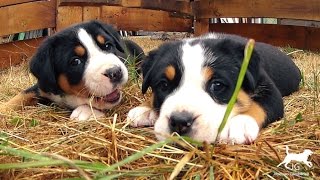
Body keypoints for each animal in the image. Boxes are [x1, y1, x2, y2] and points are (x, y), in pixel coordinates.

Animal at [1, 20, 144, 121]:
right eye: (75, 61)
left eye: (108, 46)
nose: (115, 72)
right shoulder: (42, 86)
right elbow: (21, 95)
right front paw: (3, 108)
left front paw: (84, 111)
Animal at [127, 32, 300, 144]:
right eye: (163, 85)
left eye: (217, 85)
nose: (179, 122)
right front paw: (143, 109)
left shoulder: (270, 90)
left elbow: (258, 105)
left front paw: (238, 124)